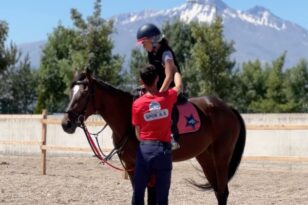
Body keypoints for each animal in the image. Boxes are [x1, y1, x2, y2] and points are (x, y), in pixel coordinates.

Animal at [62, 69, 245, 204]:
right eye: (71, 93)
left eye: (85, 93)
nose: (66, 123)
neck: (128, 117)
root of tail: (228, 108)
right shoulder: (131, 166)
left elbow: (150, 197)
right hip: (205, 157)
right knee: (218, 191)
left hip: (221, 158)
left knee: (223, 192)